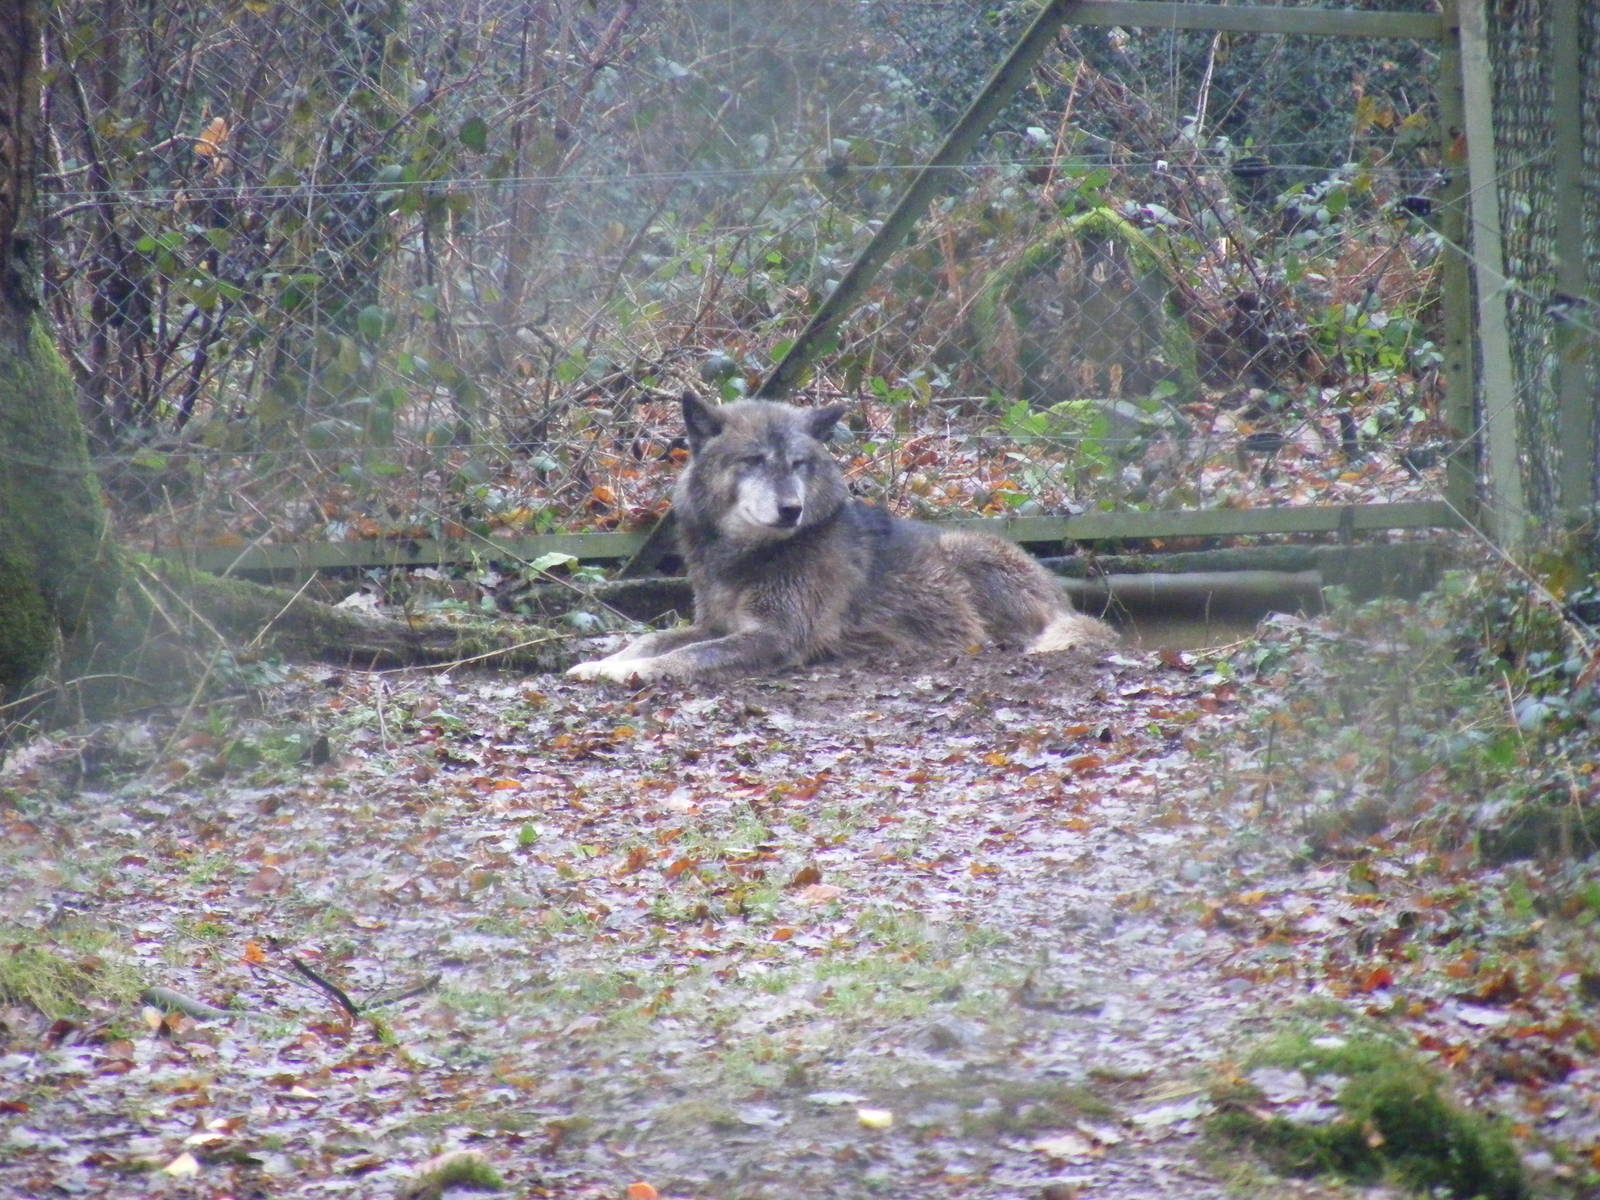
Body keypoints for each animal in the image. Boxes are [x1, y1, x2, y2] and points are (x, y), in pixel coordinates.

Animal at [566, 392, 1116, 684]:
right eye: (754, 461)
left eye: (798, 464)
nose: (792, 509)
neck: (747, 557)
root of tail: (1062, 597)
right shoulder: (714, 622)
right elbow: (653, 638)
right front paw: (597, 663)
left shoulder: (777, 636)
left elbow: (678, 659)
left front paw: (616, 674)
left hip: (966, 552)